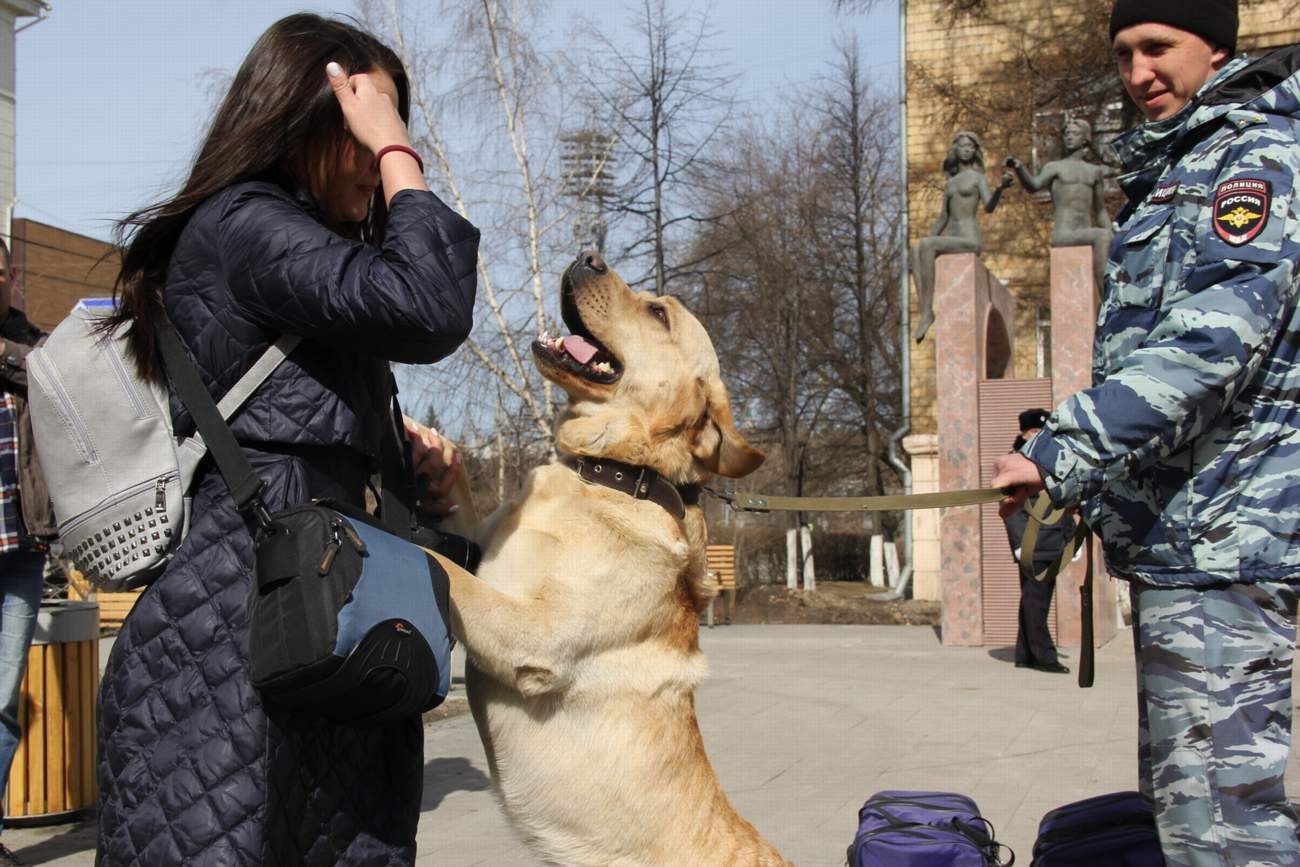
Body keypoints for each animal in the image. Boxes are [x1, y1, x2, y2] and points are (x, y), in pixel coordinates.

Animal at [439, 250, 790, 867]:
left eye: (658, 312)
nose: (587, 256)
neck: (609, 474)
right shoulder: (487, 546)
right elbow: (459, 519)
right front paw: (430, 448)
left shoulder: (532, 633)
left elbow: (443, 565)